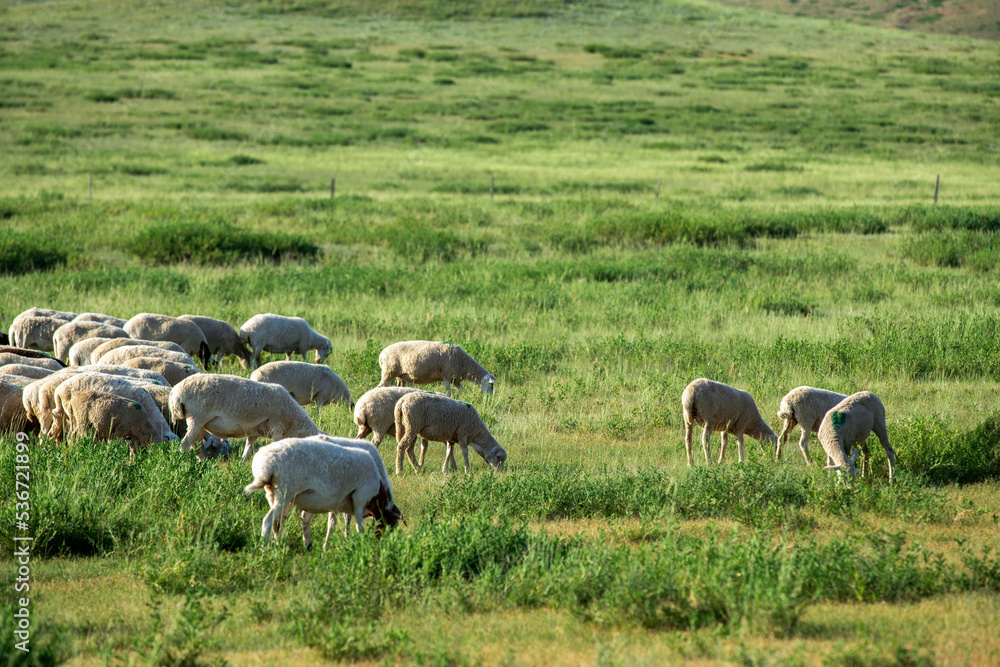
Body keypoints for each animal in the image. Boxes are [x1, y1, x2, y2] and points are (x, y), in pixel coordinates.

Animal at [168, 374, 320, 462]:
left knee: (195, 445)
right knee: (185, 444)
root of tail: (176, 391)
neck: (293, 422)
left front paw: (242, 464)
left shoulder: (254, 432)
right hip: (197, 416)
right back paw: (184, 462)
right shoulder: (277, 427)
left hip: (199, 423)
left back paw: (203, 462)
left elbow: (248, 449)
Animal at [244, 437, 403, 547]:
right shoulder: (360, 498)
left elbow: (332, 524)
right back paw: (265, 548)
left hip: (275, 495)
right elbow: (359, 526)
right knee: (268, 521)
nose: (381, 543)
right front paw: (361, 545)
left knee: (278, 523)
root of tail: (265, 466)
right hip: (285, 493)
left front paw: (327, 547)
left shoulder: (336, 503)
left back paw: (282, 545)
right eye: (391, 524)